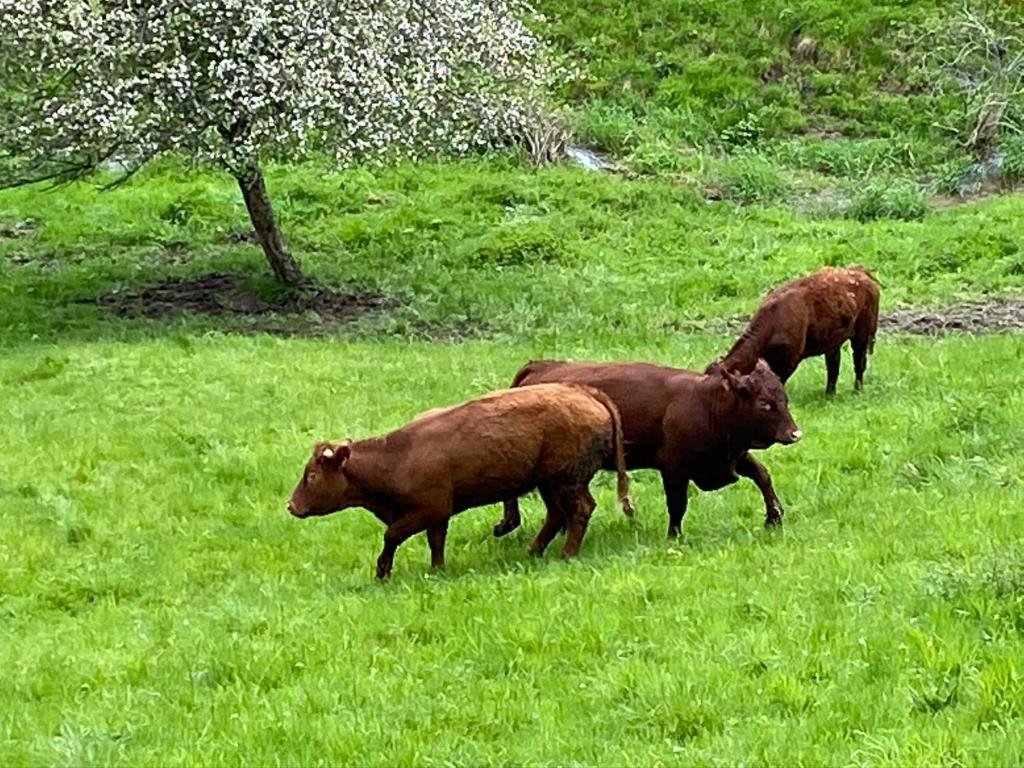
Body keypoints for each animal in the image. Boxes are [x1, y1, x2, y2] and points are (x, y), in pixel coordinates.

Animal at [286, 382, 630, 581]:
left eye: (312, 475)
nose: (291, 506)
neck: (398, 457)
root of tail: (586, 393)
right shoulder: (438, 516)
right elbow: (436, 541)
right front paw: (437, 569)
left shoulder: (428, 510)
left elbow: (392, 534)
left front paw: (382, 570)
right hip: (549, 483)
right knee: (557, 514)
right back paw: (533, 551)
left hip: (566, 481)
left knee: (579, 510)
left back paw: (566, 553)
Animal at [493, 358, 798, 536]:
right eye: (765, 404)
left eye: (783, 398)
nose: (794, 433)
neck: (707, 402)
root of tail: (539, 367)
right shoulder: (674, 469)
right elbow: (677, 504)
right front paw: (674, 536)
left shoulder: (733, 455)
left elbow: (762, 475)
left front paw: (774, 517)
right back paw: (509, 523)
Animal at [720, 266, 880, 397]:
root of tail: (860, 272)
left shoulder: (790, 358)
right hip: (833, 343)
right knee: (833, 366)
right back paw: (829, 394)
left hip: (861, 336)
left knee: (859, 362)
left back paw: (857, 390)